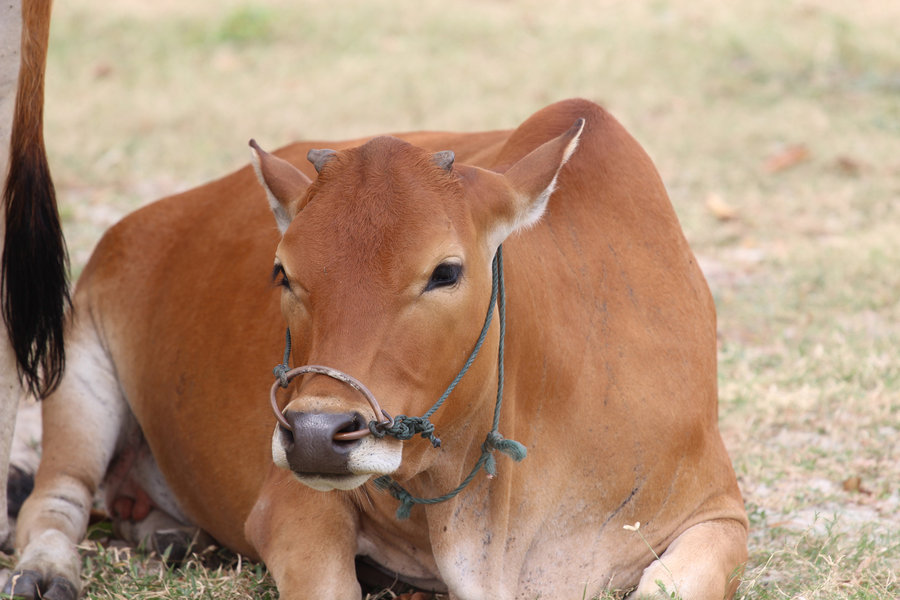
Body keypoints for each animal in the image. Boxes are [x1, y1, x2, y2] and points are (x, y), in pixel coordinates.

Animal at [5, 99, 744, 600]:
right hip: (77, 353)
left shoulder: (719, 514)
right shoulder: (291, 504)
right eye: (283, 272)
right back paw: (48, 569)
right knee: (55, 501)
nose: (315, 433)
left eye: (445, 272)